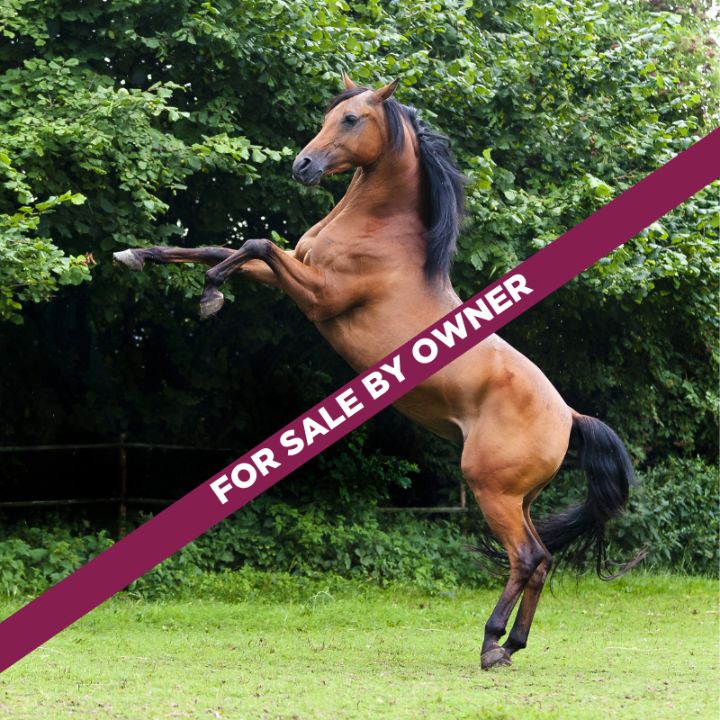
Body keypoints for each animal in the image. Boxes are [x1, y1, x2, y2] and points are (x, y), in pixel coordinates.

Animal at [113, 73, 639, 669]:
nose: (302, 165)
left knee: (526, 557)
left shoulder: (319, 295)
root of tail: (570, 415)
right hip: (518, 497)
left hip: (492, 490)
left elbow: (253, 243)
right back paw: (513, 645)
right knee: (543, 559)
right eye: (328, 115)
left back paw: (490, 644)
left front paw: (210, 297)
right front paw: (137, 255)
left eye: (351, 119)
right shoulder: (293, 273)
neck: (379, 232)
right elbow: (216, 247)